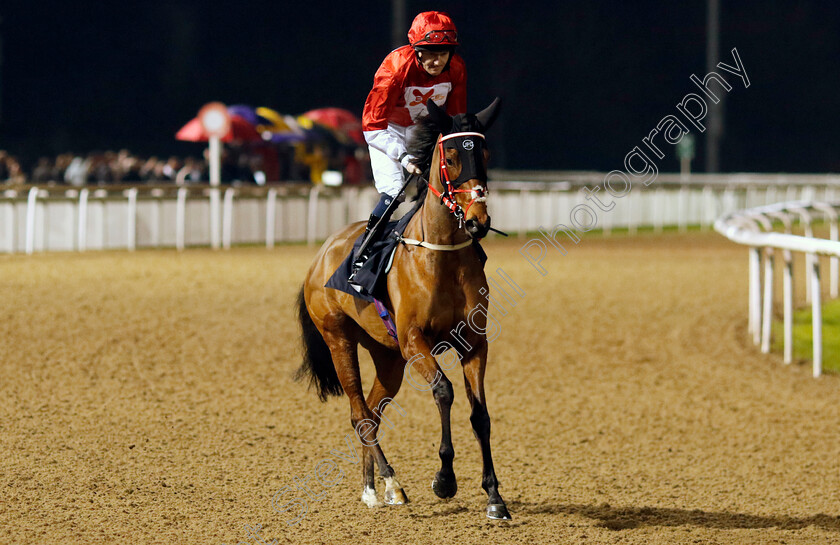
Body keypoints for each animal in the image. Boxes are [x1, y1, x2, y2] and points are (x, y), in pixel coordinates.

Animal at [298, 98, 508, 520]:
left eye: (485, 154)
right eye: (452, 157)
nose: (478, 222)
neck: (441, 255)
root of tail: (320, 256)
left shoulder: (474, 342)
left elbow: (480, 414)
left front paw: (495, 496)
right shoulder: (414, 340)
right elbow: (444, 391)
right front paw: (444, 480)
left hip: (387, 356)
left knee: (372, 412)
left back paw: (373, 488)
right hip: (339, 339)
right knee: (360, 414)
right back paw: (390, 484)